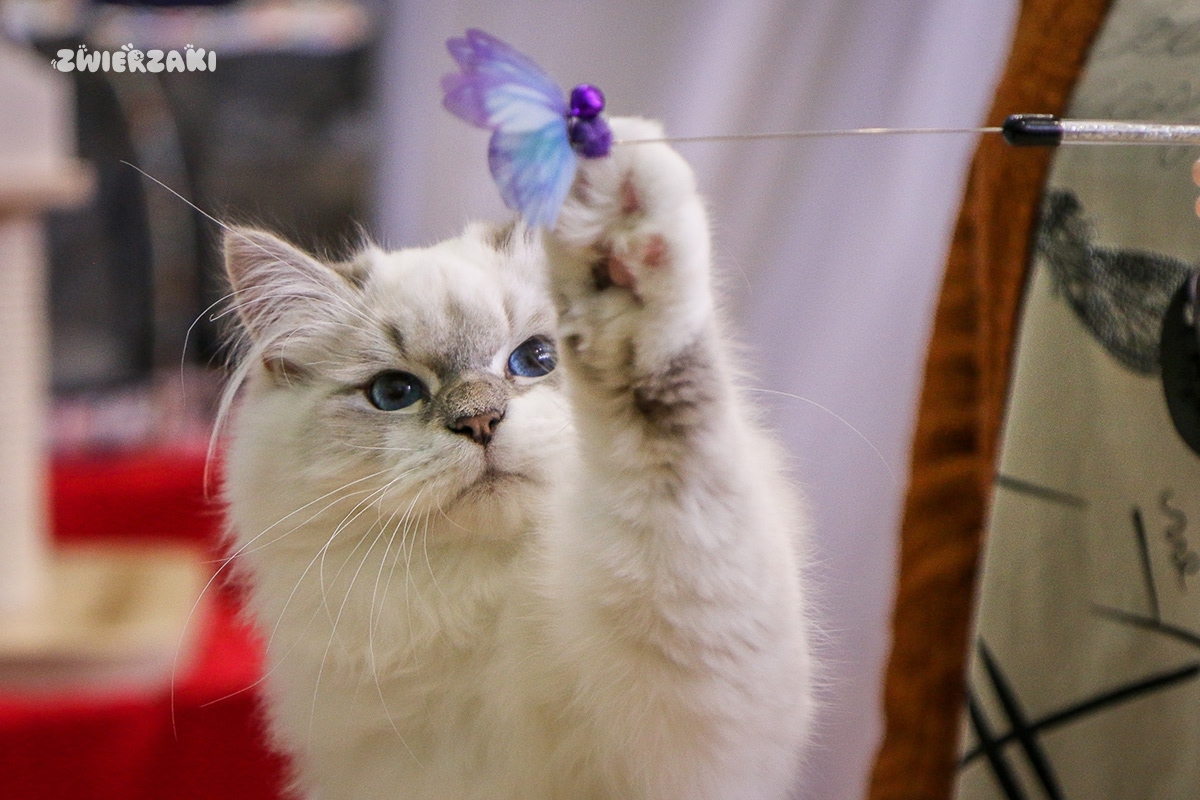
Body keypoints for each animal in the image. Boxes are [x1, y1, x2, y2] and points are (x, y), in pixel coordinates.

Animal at [221, 117, 813, 799]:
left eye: (534, 359)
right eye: (394, 393)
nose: (478, 420)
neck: (488, 600)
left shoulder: (700, 715)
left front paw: (617, 231)